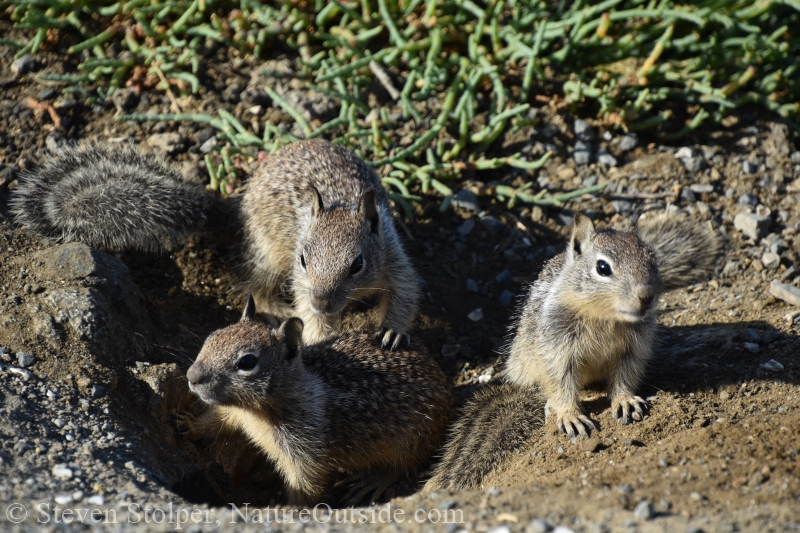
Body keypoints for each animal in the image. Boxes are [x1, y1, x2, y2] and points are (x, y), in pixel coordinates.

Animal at [9, 139, 422, 348]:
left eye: (358, 264)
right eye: (304, 259)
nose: (323, 302)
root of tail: (235, 205)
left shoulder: (395, 258)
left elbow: (406, 295)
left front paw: (391, 331)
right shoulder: (300, 279)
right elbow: (310, 316)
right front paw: (318, 335)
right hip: (267, 252)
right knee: (258, 286)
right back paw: (279, 309)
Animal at [183, 294, 456, 504]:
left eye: (247, 362)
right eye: (212, 336)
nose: (192, 376)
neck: (255, 412)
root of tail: (442, 379)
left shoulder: (306, 454)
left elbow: (306, 486)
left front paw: (291, 511)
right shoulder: (232, 412)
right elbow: (213, 421)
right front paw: (186, 425)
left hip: (411, 440)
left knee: (404, 466)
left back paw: (371, 481)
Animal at [428, 209, 720, 490]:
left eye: (653, 261)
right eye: (602, 267)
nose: (646, 297)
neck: (604, 317)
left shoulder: (634, 349)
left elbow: (626, 376)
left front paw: (625, 400)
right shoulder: (557, 348)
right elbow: (560, 382)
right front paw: (570, 415)